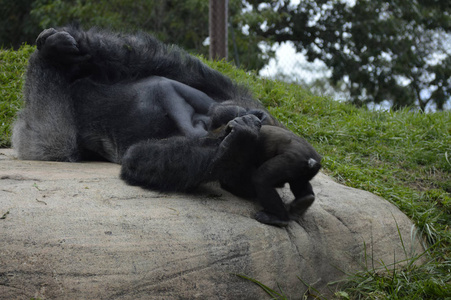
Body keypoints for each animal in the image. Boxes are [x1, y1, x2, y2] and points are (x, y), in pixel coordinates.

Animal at [11, 25, 322, 227]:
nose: (210, 122)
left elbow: (145, 159)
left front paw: (236, 142)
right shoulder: (224, 93)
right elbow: (159, 63)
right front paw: (70, 42)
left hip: (39, 134)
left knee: (54, 144)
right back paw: (55, 49)